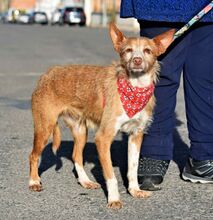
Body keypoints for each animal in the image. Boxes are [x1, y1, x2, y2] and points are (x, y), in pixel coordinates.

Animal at [28, 22, 175, 210]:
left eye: (148, 51)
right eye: (128, 50)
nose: (137, 60)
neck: (134, 87)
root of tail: (47, 73)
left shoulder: (136, 135)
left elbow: (133, 168)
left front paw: (134, 190)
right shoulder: (103, 138)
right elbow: (111, 175)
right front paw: (114, 199)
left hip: (80, 130)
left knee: (76, 156)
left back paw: (85, 182)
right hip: (45, 127)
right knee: (33, 155)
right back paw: (34, 181)